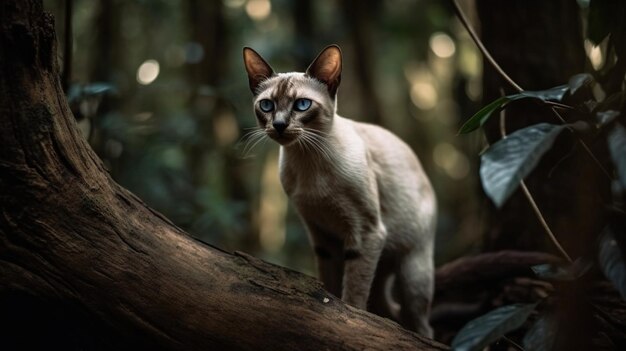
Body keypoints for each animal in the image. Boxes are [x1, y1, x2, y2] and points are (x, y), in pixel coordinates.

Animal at [243, 44, 434, 338]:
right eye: (267, 105)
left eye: (302, 105)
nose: (279, 125)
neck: (308, 162)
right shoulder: (321, 234)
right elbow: (330, 290)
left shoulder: (365, 232)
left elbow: (352, 298)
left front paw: (351, 324)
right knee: (389, 313)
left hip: (413, 274)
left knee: (421, 325)